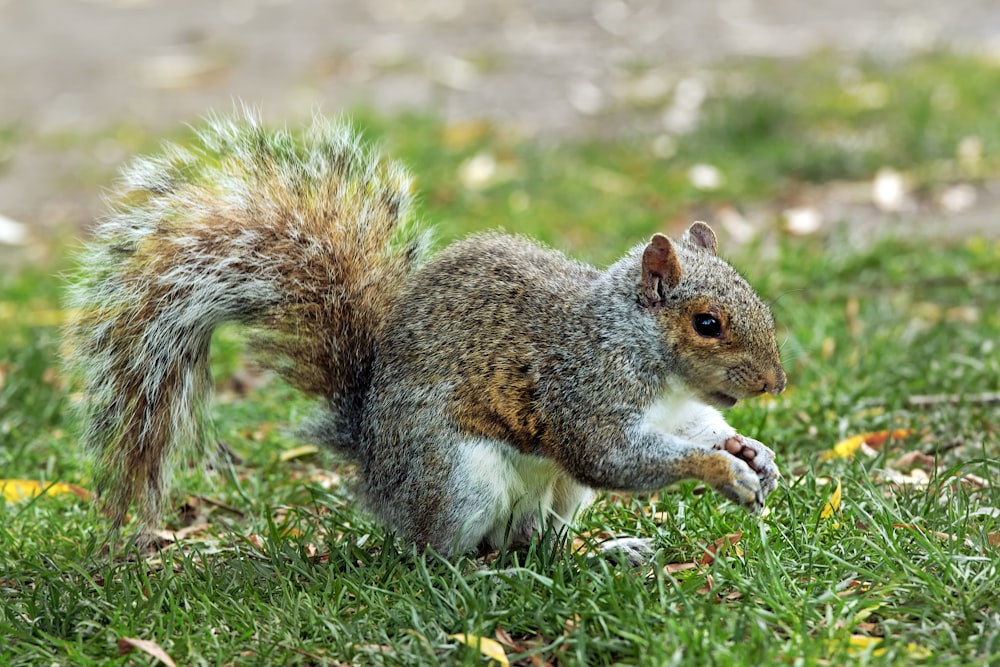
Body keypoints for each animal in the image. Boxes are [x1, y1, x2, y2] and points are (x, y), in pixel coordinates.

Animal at [68, 112, 788, 560]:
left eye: (755, 297)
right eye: (707, 324)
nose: (776, 383)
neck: (645, 353)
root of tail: (374, 466)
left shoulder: (675, 410)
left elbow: (699, 428)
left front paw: (752, 451)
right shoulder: (584, 390)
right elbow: (613, 457)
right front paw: (722, 469)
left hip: (556, 496)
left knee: (534, 544)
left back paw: (605, 553)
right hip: (457, 479)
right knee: (445, 557)